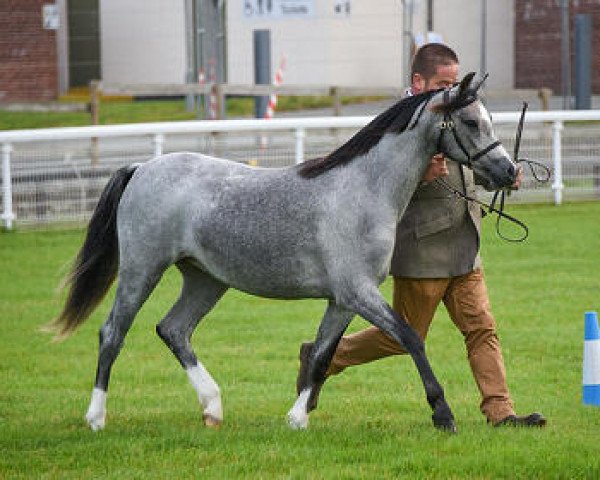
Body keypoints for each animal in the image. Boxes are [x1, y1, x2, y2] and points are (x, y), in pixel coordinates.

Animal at [50, 72, 516, 436]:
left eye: (490, 119)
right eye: (471, 121)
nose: (508, 172)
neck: (362, 188)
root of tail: (142, 168)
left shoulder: (342, 300)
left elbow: (323, 354)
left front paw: (297, 417)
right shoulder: (358, 292)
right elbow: (409, 338)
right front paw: (443, 414)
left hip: (205, 279)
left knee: (173, 330)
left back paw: (212, 407)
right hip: (141, 270)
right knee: (113, 332)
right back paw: (96, 418)